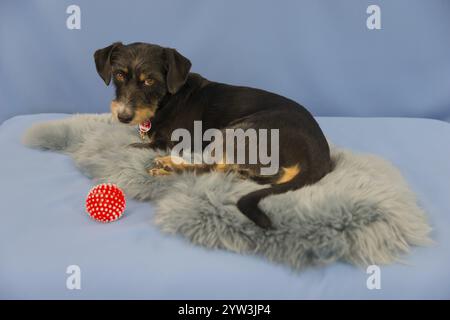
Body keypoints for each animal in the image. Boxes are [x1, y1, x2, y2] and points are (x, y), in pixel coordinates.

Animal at [94, 41, 334, 229]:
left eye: (150, 80)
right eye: (119, 75)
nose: (123, 116)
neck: (167, 100)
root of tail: (318, 158)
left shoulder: (174, 140)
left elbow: (127, 147)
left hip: (237, 131)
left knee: (207, 169)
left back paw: (169, 166)